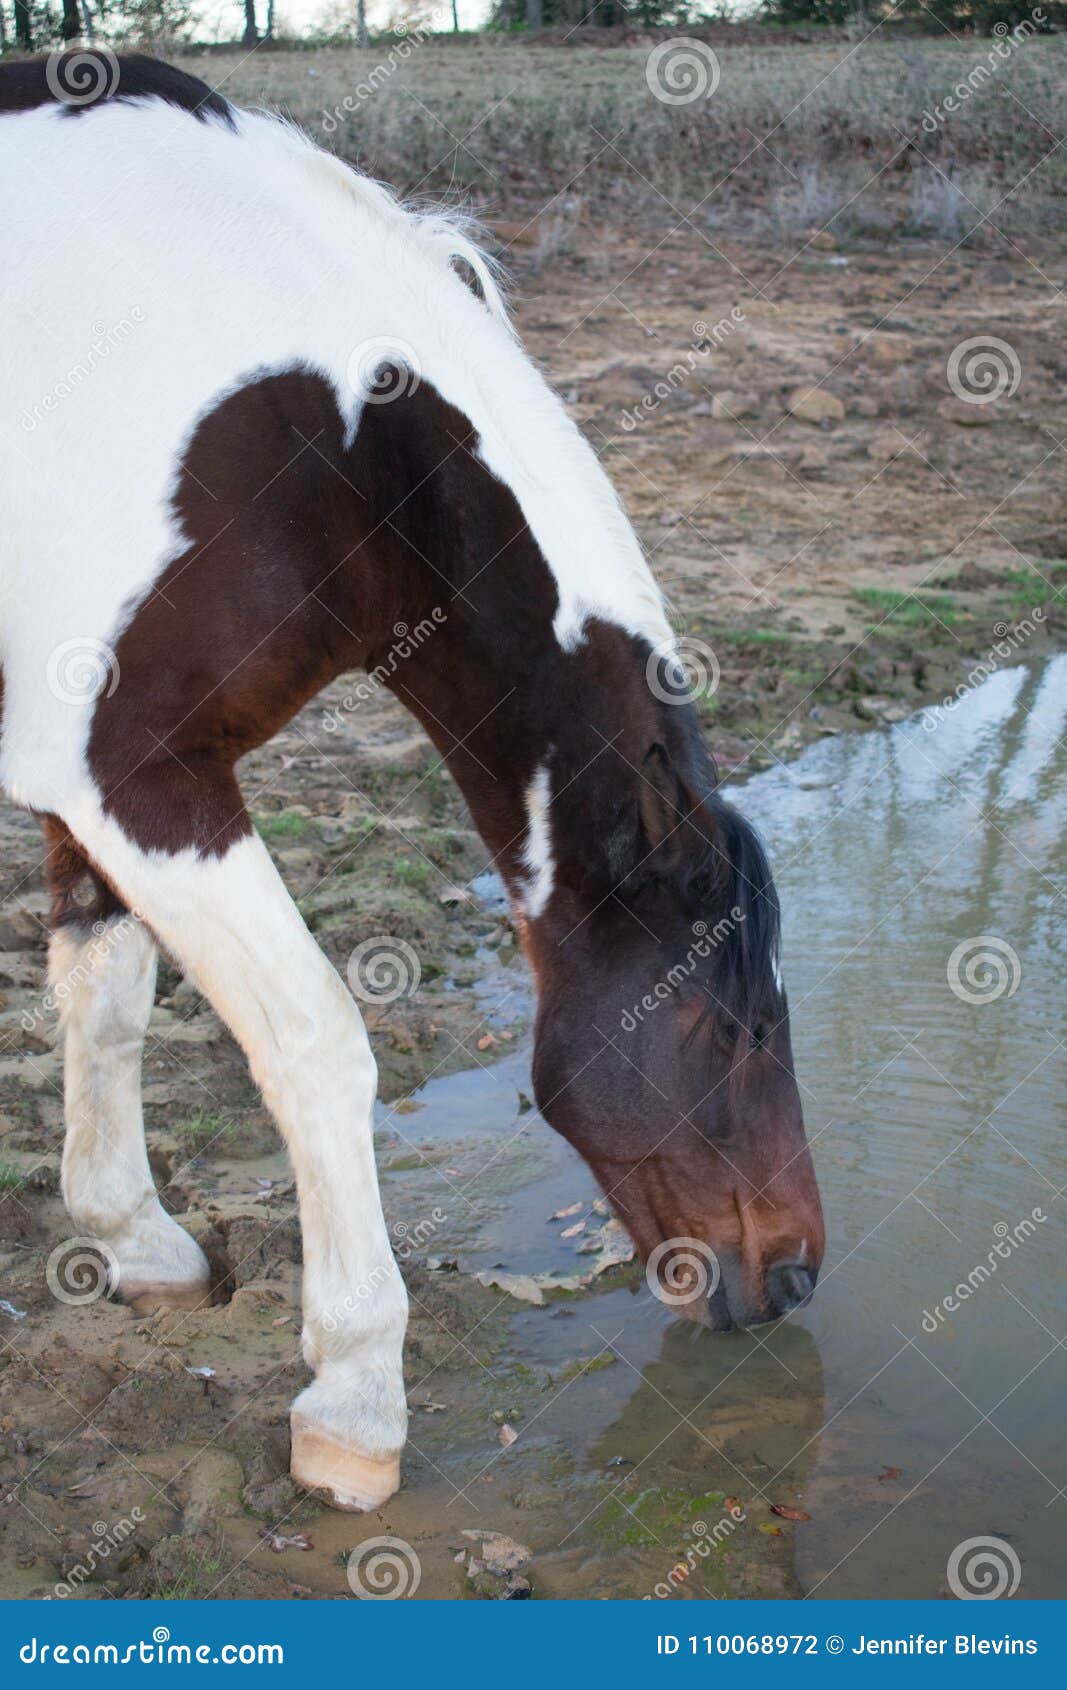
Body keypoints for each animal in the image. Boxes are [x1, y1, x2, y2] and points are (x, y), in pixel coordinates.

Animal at [0, 53, 825, 1512]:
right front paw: (354, 1397)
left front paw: (133, 1237)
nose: (790, 1275)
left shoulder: (107, 782)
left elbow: (105, 990)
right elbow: (317, 1044)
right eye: (732, 1027)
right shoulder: (137, 775)